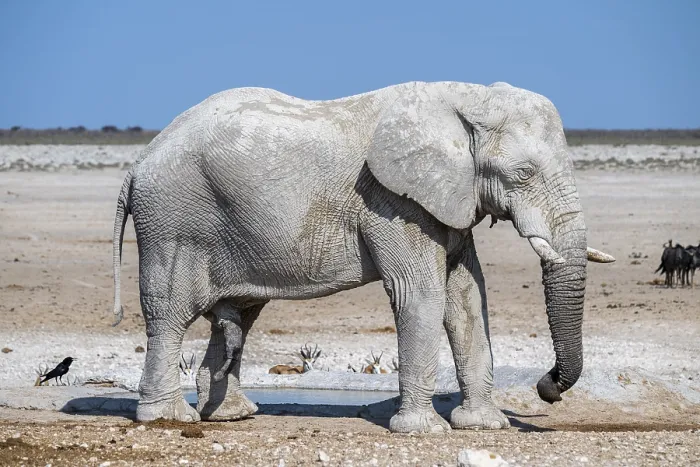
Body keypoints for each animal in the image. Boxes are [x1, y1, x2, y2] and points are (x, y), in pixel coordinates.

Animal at [111, 80, 615, 433]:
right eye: (523, 173)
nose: (547, 388)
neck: (466, 98)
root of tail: (137, 164)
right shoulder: (393, 201)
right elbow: (420, 294)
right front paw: (422, 432)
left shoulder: (448, 201)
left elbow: (467, 297)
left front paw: (486, 426)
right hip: (172, 222)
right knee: (170, 313)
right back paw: (168, 419)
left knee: (240, 314)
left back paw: (233, 416)